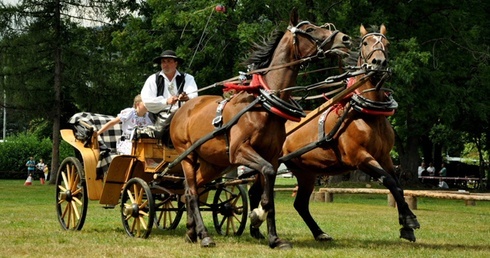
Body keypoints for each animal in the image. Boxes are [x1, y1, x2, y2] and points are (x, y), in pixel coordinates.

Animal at [159, 9, 350, 249]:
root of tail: (181, 108)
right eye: (309, 29)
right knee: (192, 192)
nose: (345, 38)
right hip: (187, 157)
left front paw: (274, 238)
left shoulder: (273, 156)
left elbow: (269, 194)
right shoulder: (240, 151)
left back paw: (191, 232)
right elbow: (265, 175)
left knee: (188, 190)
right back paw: (204, 235)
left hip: (213, 163)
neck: (263, 105)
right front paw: (258, 217)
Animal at [282, 24, 420, 242]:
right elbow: (389, 181)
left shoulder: (385, 156)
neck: (368, 114)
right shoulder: (360, 157)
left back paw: (320, 233)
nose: (378, 63)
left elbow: (397, 185)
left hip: (306, 172)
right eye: (365, 43)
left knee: (300, 204)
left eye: (387, 43)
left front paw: (406, 223)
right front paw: (409, 220)